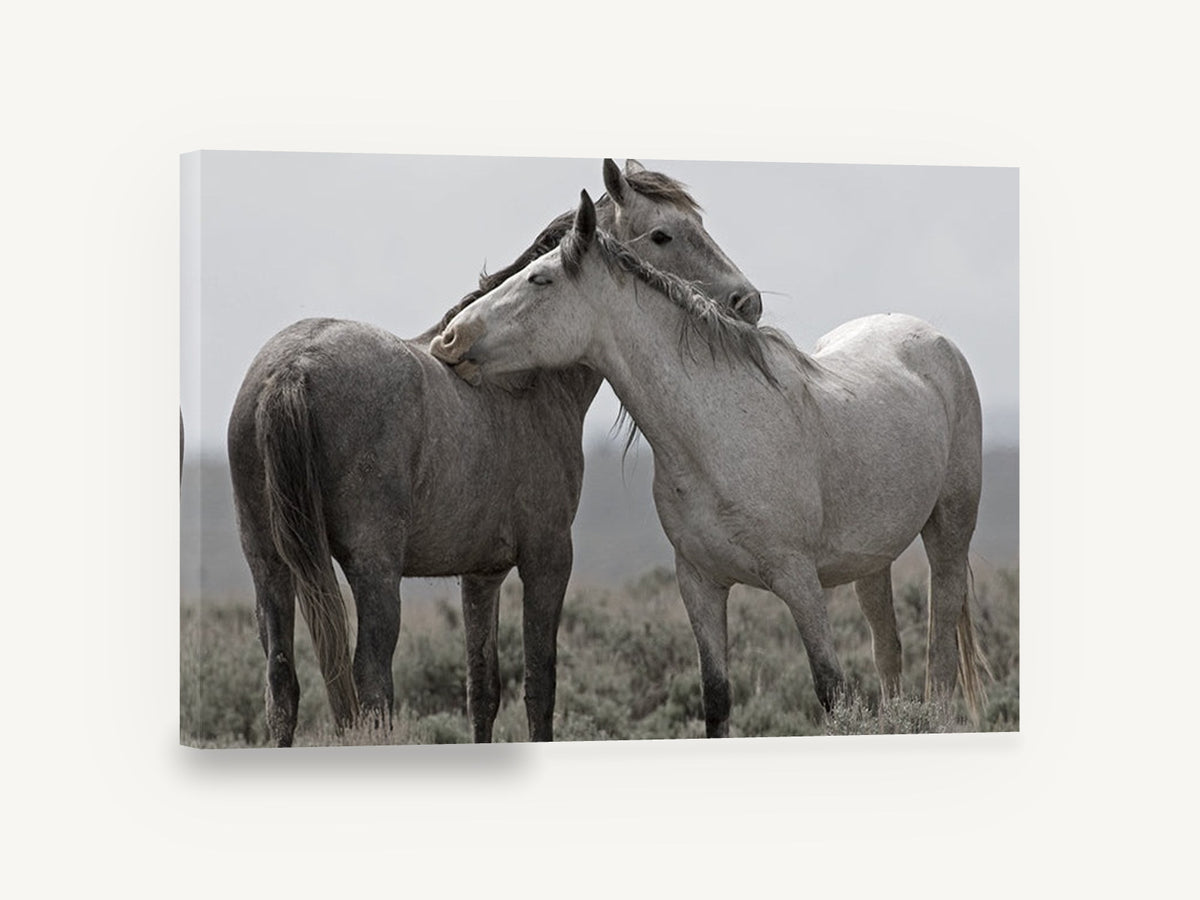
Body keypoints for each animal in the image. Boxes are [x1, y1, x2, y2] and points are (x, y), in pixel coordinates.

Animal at [228, 160, 763, 746]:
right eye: (664, 234)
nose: (748, 303)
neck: (522, 379)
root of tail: (293, 366)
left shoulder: (480, 575)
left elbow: (482, 689)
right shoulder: (548, 558)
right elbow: (539, 685)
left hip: (269, 566)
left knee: (282, 683)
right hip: (373, 570)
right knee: (370, 680)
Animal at [431, 191, 987, 737]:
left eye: (540, 280)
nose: (449, 339)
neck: (716, 432)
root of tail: (937, 342)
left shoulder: (799, 582)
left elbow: (832, 692)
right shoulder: (699, 583)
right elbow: (716, 698)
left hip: (948, 532)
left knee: (939, 658)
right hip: (872, 561)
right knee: (888, 650)